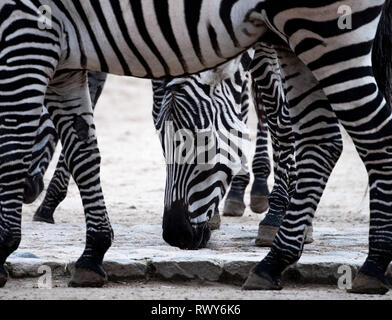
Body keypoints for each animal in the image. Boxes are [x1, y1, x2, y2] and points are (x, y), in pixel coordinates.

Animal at [0, 0, 390, 296]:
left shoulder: (29, 30)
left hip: (322, 28)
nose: (176, 235)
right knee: (319, 133)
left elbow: (276, 113)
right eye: (161, 144)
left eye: (201, 139)